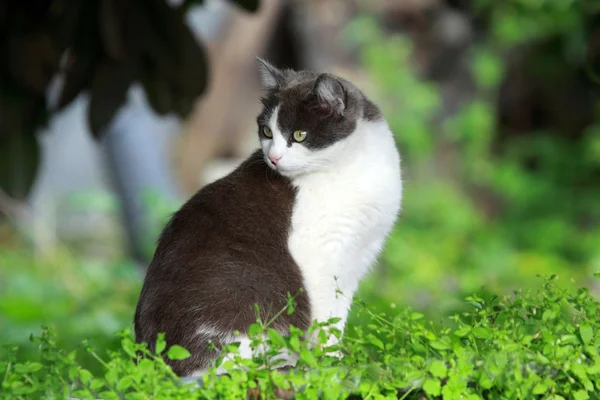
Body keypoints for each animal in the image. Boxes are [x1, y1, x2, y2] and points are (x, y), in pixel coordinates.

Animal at [134, 57, 400, 376]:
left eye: (299, 135)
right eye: (267, 132)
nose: (273, 158)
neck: (348, 166)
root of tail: (153, 364)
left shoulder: (354, 262)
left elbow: (338, 319)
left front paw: (337, 362)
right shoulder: (318, 256)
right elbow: (324, 322)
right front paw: (327, 368)